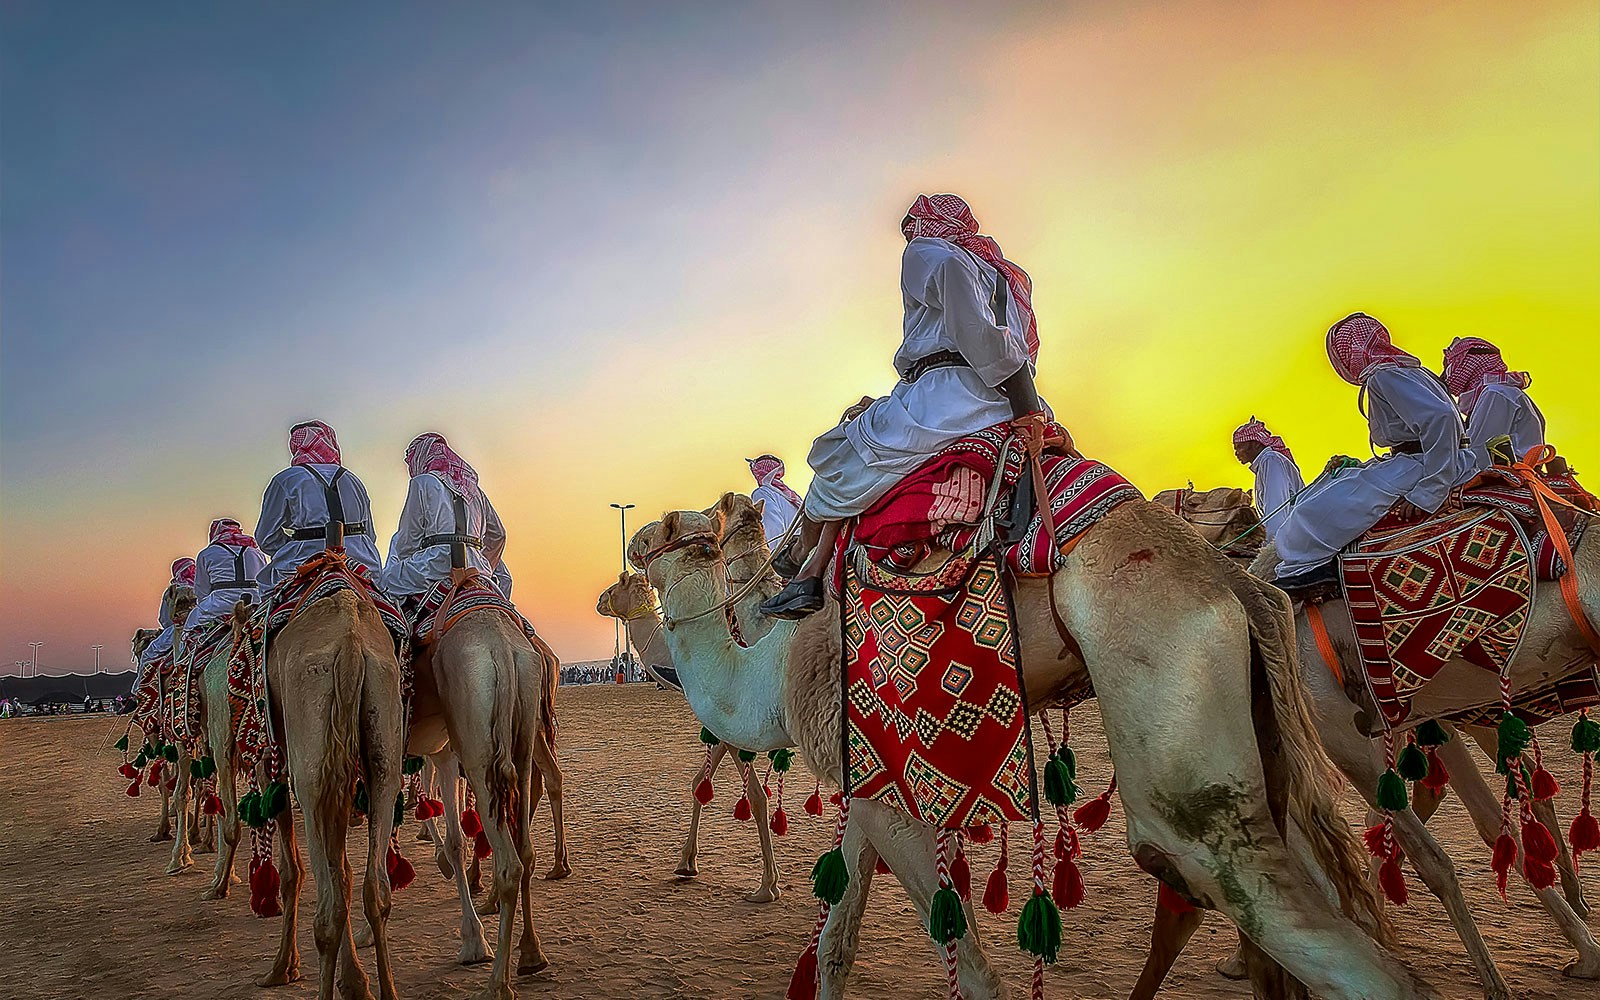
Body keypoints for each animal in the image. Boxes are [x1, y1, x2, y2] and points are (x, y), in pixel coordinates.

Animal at [639, 502, 1437, 1000]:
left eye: (658, 530)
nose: (631, 548)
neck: (770, 673)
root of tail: (1238, 585)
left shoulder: (875, 785)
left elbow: (971, 970)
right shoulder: (866, 782)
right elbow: (836, 951)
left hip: (1175, 715)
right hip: (1259, 737)